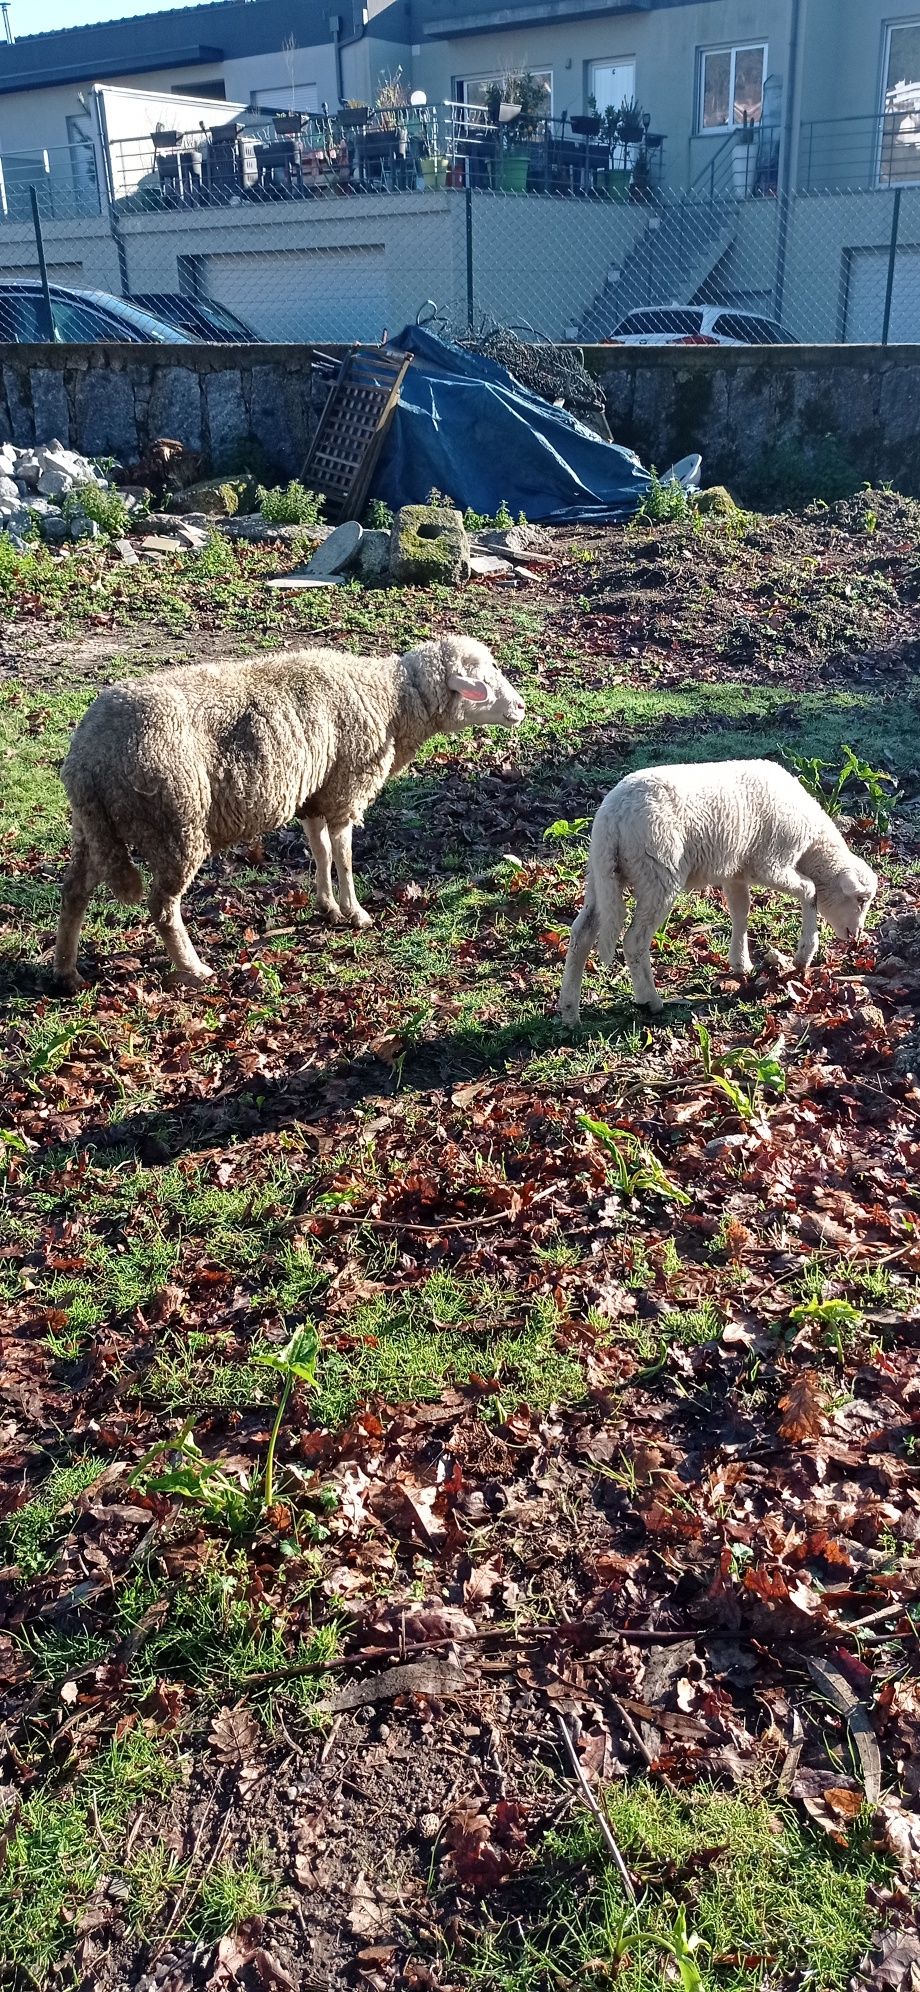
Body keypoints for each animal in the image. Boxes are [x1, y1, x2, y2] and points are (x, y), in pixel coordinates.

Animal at [52, 633, 525, 992]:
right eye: (483, 674)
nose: (520, 708)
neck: (391, 699)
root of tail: (87, 759)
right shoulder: (346, 788)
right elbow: (345, 857)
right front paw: (356, 912)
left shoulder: (315, 793)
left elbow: (321, 852)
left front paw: (327, 906)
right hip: (176, 823)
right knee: (162, 906)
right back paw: (194, 968)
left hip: (93, 829)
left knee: (74, 891)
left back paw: (67, 970)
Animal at [557, 752, 880, 1019]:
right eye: (861, 899)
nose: (856, 937)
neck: (811, 845)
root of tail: (615, 815)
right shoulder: (770, 864)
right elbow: (810, 890)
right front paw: (804, 954)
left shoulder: (736, 871)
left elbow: (741, 911)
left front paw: (741, 963)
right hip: (657, 874)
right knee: (634, 940)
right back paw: (650, 1000)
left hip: (601, 873)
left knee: (582, 932)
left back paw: (570, 1011)